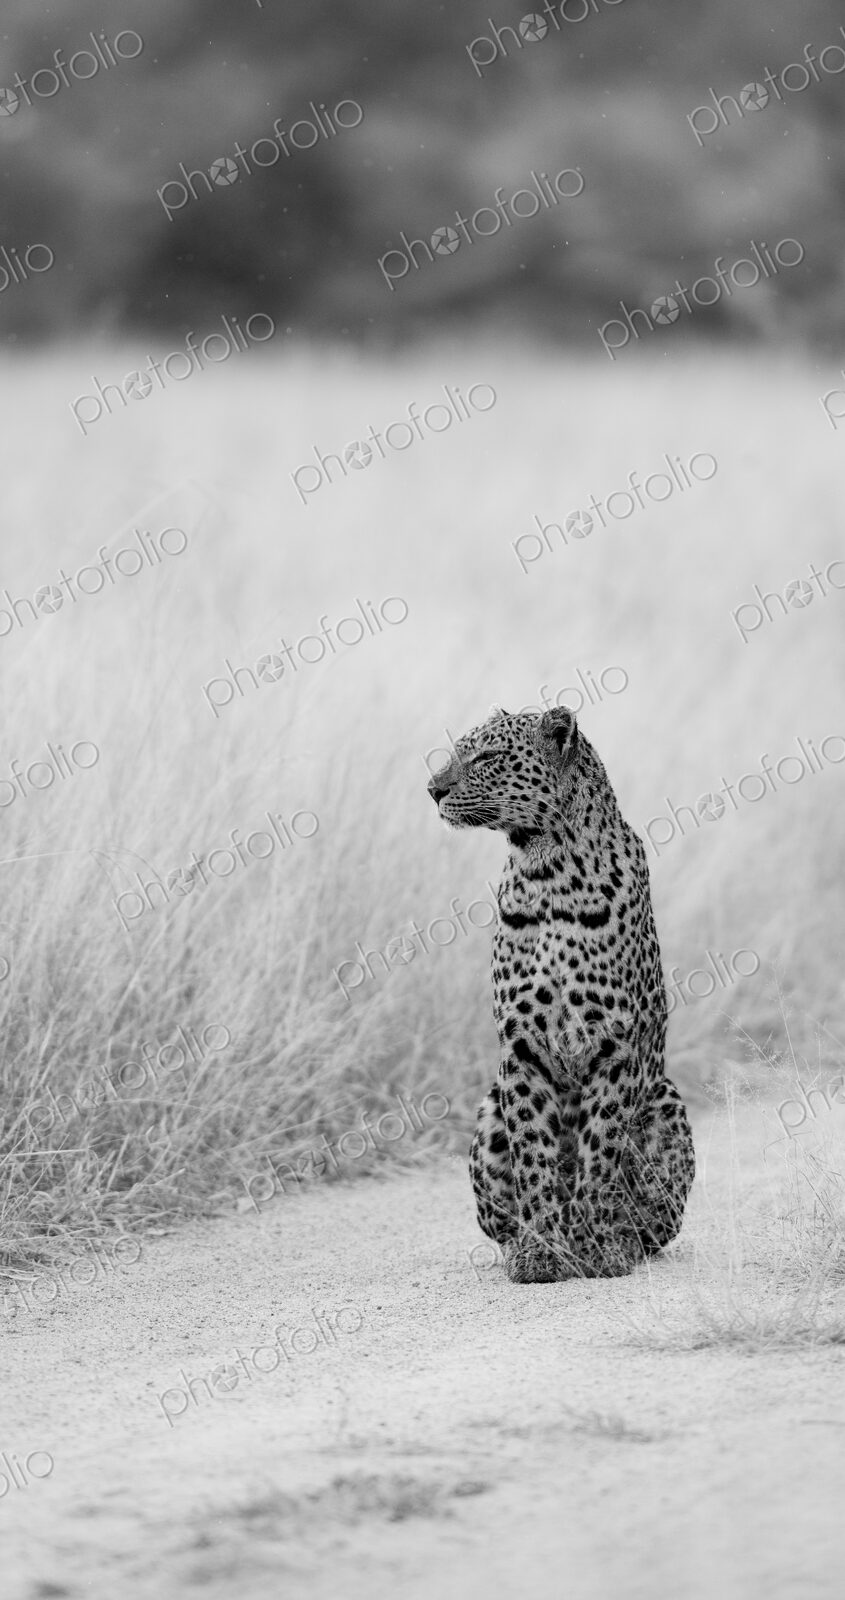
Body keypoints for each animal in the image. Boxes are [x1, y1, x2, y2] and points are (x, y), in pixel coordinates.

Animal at [427, 705, 695, 1284]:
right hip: (488, 1112)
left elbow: (599, 1152)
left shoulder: (614, 1046)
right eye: (456, 753)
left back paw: (621, 1239)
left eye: (486, 756)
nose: (432, 788)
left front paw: (596, 1246)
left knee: (652, 1224)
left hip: (665, 1101)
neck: (547, 869)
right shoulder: (521, 1048)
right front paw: (540, 1250)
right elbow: (534, 1154)